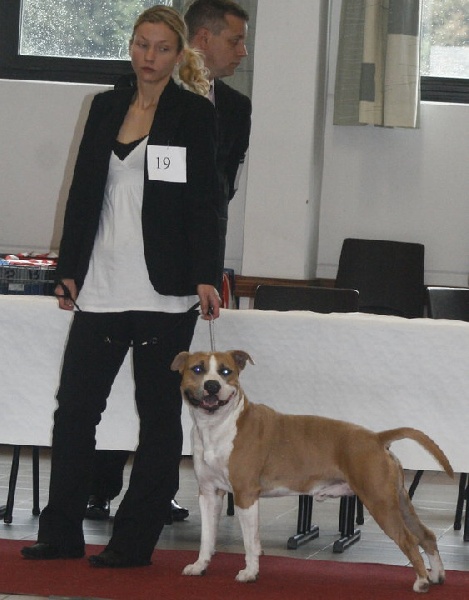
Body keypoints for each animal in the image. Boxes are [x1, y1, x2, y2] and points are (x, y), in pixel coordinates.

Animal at [171, 349, 454, 593]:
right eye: (198, 369)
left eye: (225, 371)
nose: (212, 386)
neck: (217, 426)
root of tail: (376, 437)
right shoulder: (209, 494)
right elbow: (207, 537)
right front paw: (200, 566)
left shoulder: (245, 495)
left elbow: (250, 542)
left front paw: (250, 573)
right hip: (398, 501)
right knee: (426, 535)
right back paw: (437, 575)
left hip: (379, 502)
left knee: (408, 539)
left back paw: (421, 581)